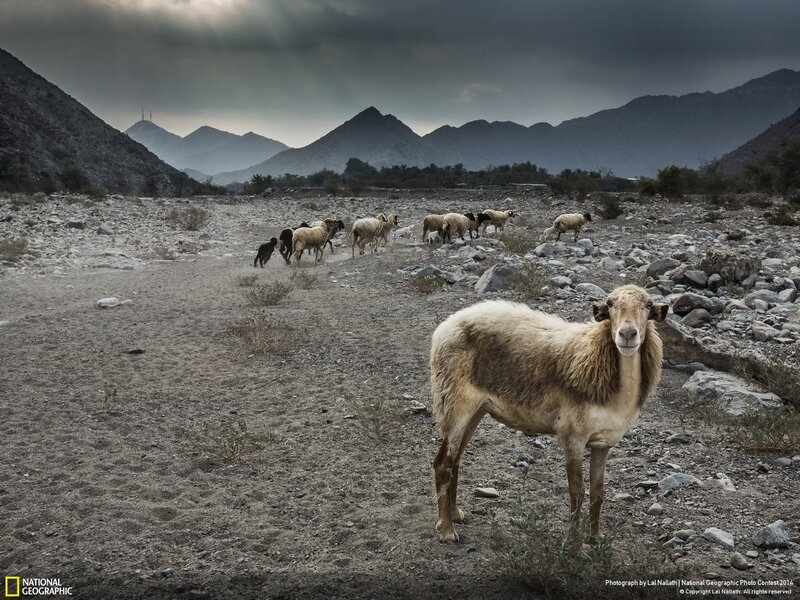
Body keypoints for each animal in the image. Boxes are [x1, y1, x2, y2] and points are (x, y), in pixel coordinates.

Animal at [430, 284, 667, 543]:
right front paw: (573, 543)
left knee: (456, 460)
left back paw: (455, 513)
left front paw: (595, 541)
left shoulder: (603, 442)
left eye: (647, 305)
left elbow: (597, 494)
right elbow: (577, 493)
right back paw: (446, 530)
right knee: (443, 463)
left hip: (477, 409)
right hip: (456, 404)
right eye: (611, 304)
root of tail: (446, 326)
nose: (627, 334)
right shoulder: (573, 437)